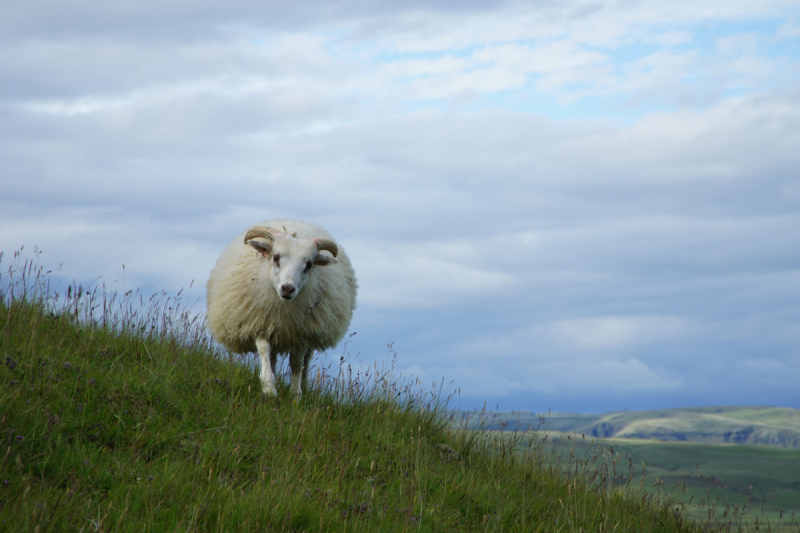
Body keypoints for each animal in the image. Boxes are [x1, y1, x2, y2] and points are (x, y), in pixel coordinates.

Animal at [205, 218, 358, 396]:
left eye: (309, 264)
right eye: (276, 257)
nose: (288, 288)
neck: (283, 310)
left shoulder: (302, 334)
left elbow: (297, 364)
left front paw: (295, 394)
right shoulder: (260, 324)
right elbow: (264, 353)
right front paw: (269, 389)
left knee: (306, 362)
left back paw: (304, 386)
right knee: (273, 358)